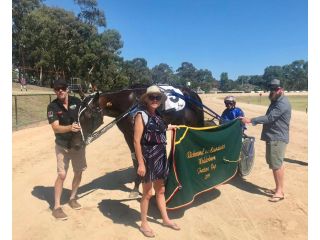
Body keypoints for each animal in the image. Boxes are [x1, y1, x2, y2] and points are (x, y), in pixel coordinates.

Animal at [74, 86, 204, 197]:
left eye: (87, 116)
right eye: (78, 115)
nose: (77, 144)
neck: (130, 104)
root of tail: (193, 94)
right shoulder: (128, 134)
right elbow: (136, 159)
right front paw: (137, 186)